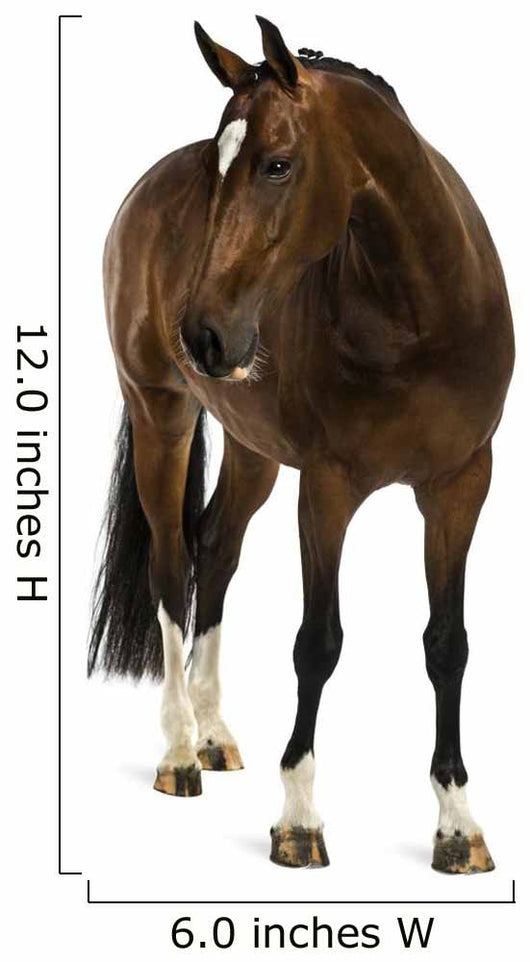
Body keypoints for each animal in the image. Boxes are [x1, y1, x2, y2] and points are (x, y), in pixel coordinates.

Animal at [88, 16, 514, 871]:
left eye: (277, 165)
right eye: (218, 171)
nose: (202, 334)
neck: (416, 315)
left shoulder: (460, 484)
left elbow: (447, 643)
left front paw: (458, 823)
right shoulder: (327, 489)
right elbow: (318, 643)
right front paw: (299, 819)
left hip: (252, 449)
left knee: (215, 548)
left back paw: (214, 734)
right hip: (162, 416)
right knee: (170, 566)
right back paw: (179, 752)